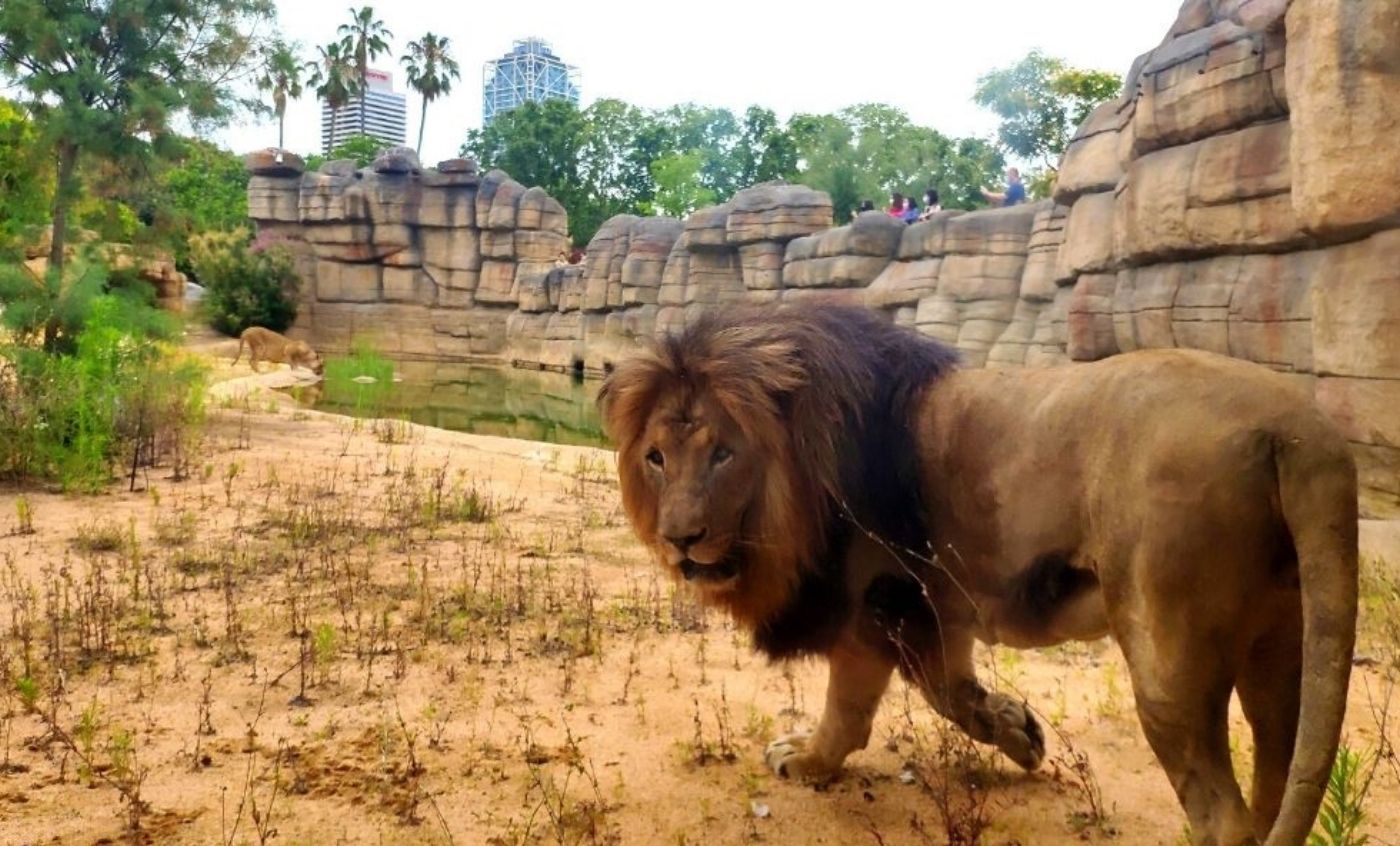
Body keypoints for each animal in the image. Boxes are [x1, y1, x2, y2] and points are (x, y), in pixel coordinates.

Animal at [599, 303, 1355, 846]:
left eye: (724, 453)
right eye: (657, 457)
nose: (679, 540)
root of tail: (1295, 430)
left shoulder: (875, 605)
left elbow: (851, 710)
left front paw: (807, 762)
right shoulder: (933, 609)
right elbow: (954, 695)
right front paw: (1019, 731)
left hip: (1170, 660)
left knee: (1224, 816)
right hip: (1280, 643)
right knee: (1276, 768)